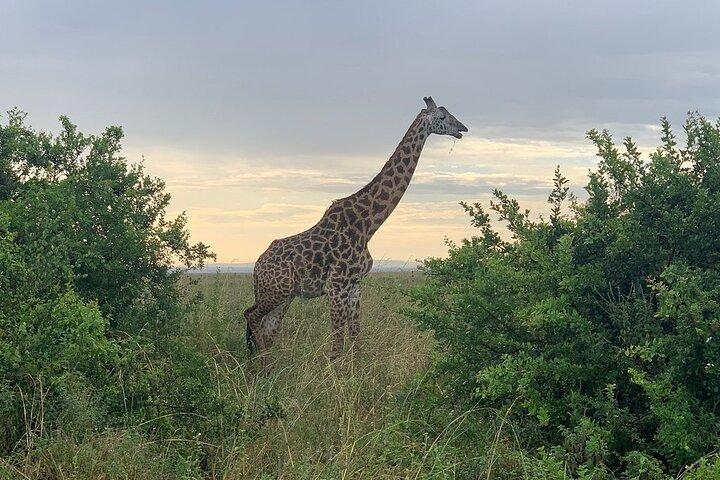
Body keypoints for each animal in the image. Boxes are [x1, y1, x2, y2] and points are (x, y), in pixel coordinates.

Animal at [244, 96, 467, 365]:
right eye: (443, 117)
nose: (462, 128)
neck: (367, 225)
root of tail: (257, 267)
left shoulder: (354, 286)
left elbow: (356, 338)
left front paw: (357, 372)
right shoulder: (336, 286)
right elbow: (337, 345)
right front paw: (334, 375)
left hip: (283, 296)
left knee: (267, 329)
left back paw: (264, 368)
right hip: (277, 291)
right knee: (251, 315)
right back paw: (262, 365)